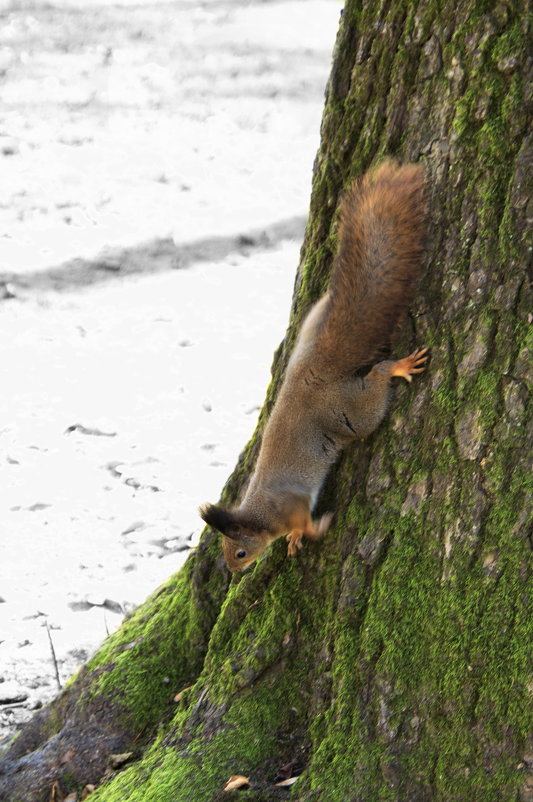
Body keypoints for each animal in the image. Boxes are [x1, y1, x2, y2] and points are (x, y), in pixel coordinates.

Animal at [200, 158, 428, 568]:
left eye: (240, 551)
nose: (235, 570)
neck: (261, 513)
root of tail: (312, 371)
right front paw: (294, 539)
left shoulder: (291, 505)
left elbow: (305, 521)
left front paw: (312, 530)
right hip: (312, 329)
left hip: (350, 411)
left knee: (375, 388)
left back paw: (397, 367)